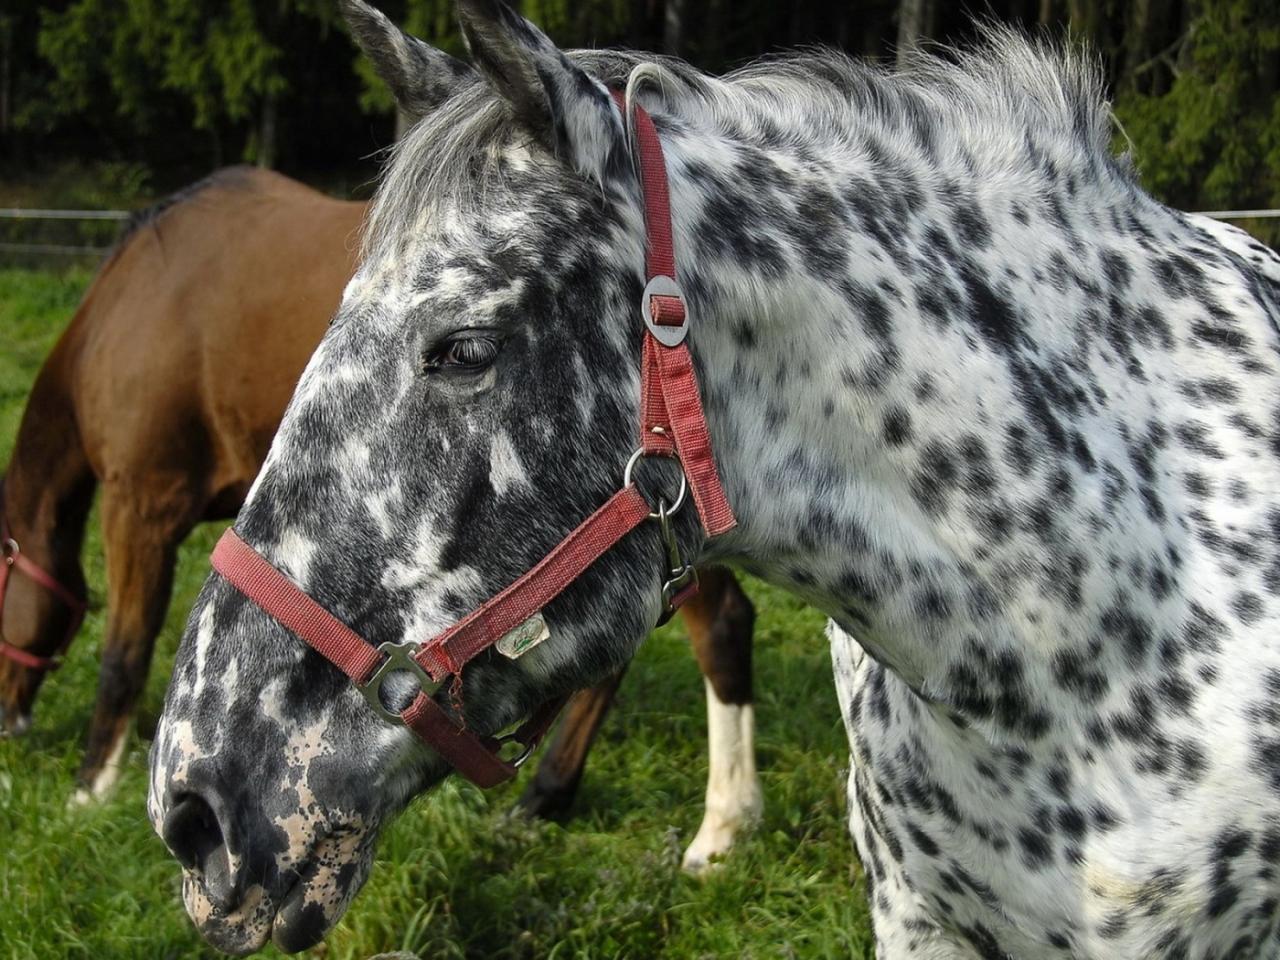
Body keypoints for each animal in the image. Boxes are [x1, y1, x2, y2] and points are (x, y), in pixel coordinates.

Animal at [0, 167, 757, 870]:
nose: (10, 722)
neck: (134, 302)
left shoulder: (142, 505)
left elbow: (122, 654)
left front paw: (89, 787)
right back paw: (556, 797)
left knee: (718, 624)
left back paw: (715, 829)